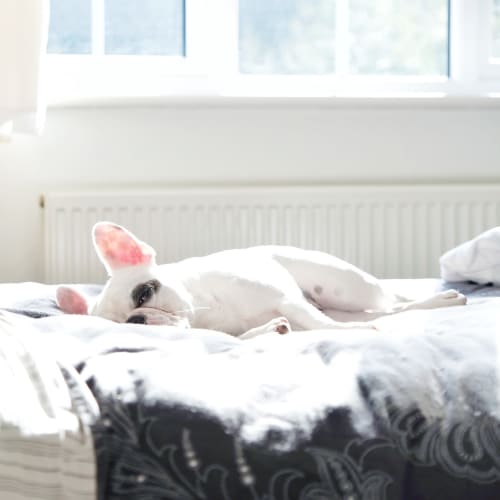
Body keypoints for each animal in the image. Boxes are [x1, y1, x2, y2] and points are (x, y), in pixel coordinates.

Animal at [56, 223, 466, 340]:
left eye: (143, 294)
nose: (137, 320)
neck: (206, 315)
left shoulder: (288, 300)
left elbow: (323, 325)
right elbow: (250, 337)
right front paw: (271, 329)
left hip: (347, 288)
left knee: (392, 304)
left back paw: (439, 300)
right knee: (384, 311)